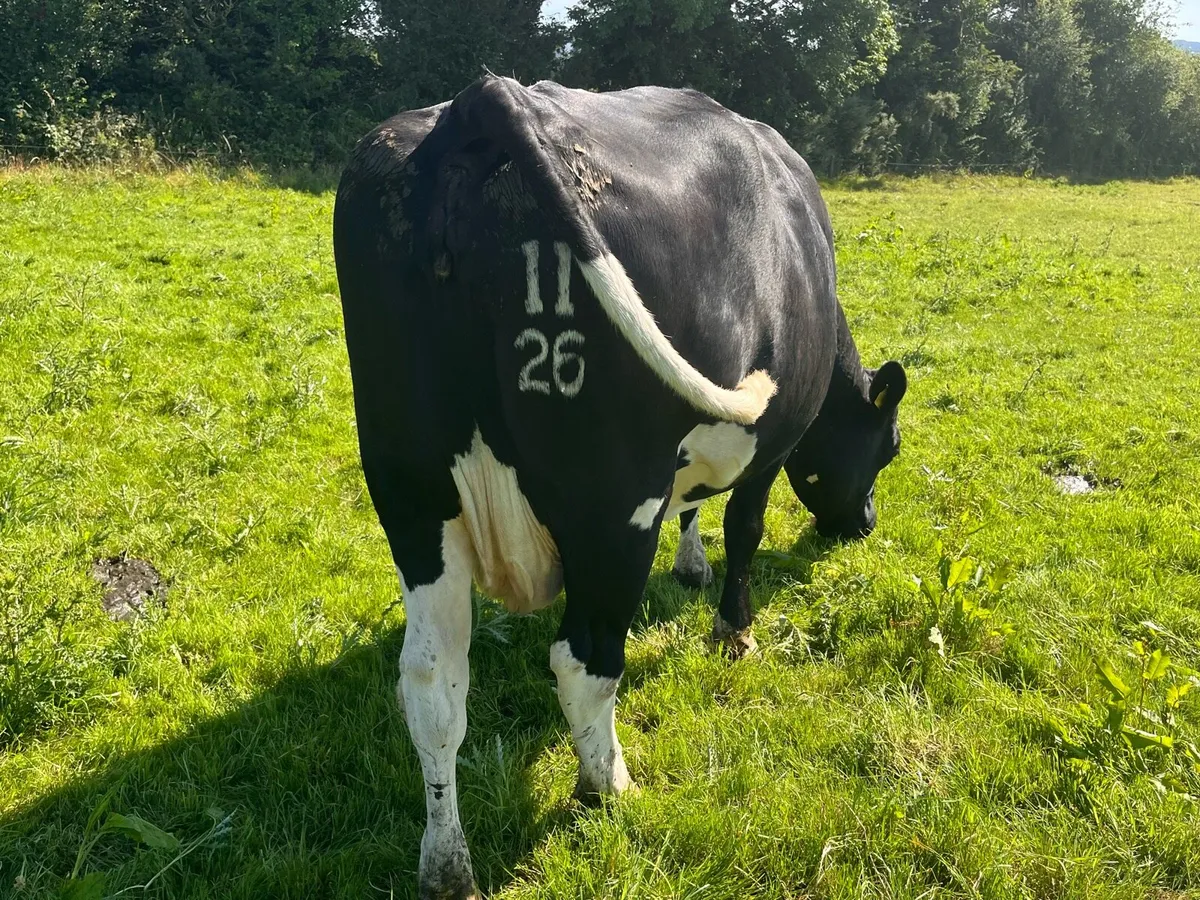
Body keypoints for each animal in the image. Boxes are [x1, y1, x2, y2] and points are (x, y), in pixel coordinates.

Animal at [332, 75, 907, 899]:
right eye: (888, 448)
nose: (861, 524)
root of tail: (482, 99)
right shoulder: (765, 450)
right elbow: (744, 528)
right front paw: (734, 630)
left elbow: (695, 508)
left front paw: (691, 564)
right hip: (612, 503)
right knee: (585, 659)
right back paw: (608, 784)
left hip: (412, 497)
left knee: (433, 681)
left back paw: (447, 863)